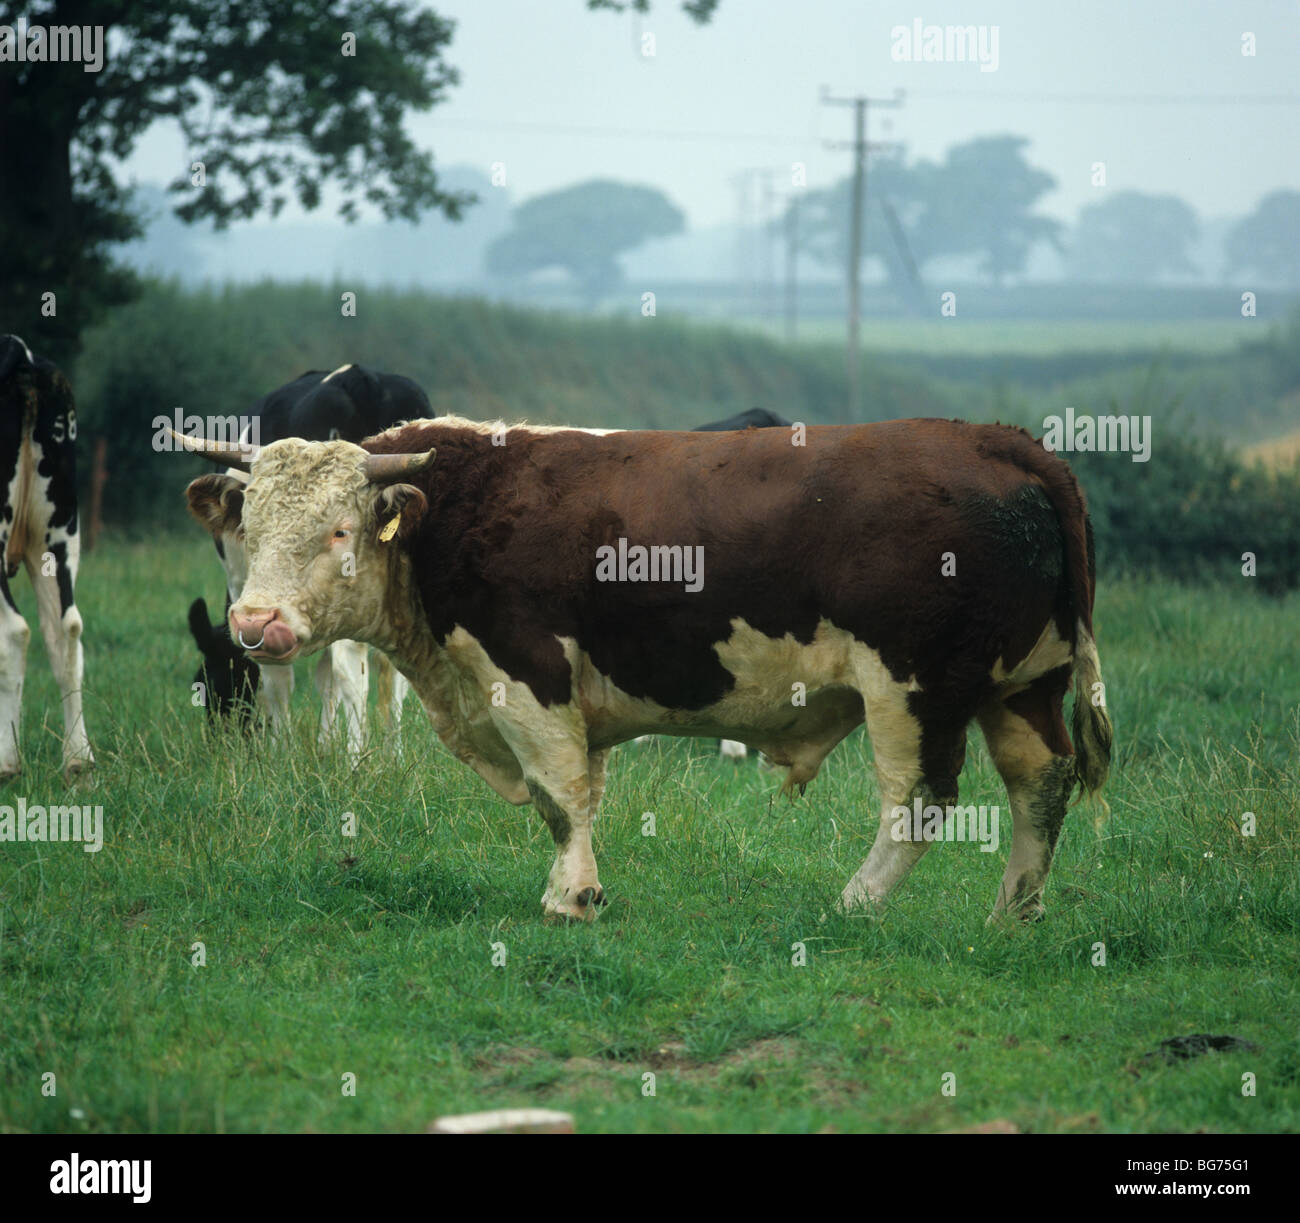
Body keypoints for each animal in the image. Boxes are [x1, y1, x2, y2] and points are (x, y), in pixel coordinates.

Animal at [178, 415, 1112, 920]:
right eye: (249, 525)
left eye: (338, 530)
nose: (256, 623)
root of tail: (1005, 445)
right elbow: (583, 796)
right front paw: (581, 883)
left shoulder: (527, 677)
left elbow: (558, 796)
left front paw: (570, 898)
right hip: (1025, 685)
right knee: (1041, 782)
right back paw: (1013, 912)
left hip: (913, 688)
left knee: (919, 802)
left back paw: (855, 902)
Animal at [188, 363, 431, 753]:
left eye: (211, 682)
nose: (222, 741)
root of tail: (359, 377)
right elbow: (327, 677)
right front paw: (326, 744)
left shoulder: (250, 591)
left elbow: (279, 675)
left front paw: (282, 752)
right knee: (388, 675)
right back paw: (391, 752)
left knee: (351, 670)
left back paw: (356, 757)